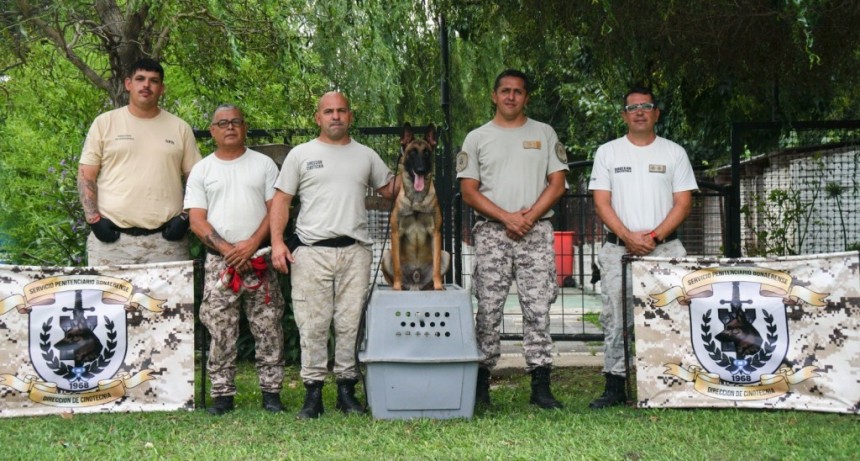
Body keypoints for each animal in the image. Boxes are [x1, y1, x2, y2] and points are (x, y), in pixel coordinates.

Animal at [382, 122, 450, 288]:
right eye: (412, 153)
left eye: (426, 153)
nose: (421, 170)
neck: (417, 199)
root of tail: (416, 279)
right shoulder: (396, 233)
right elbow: (397, 267)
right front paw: (397, 288)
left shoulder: (436, 233)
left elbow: (436, 266)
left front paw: (439, 287)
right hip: (386, 256)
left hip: (446, 255)